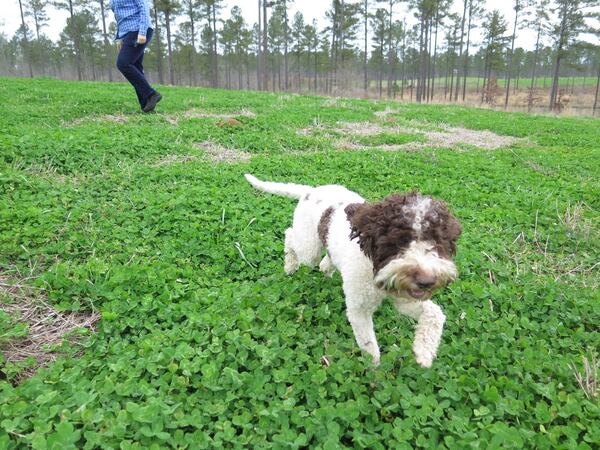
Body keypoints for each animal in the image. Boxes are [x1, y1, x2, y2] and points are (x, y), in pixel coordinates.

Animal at [246, 174, 462, 368]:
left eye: (438, 242)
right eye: (399, 240)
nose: (427, 281)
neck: (374, 265)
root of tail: (311, 191)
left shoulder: (404, 297)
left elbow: (435, 313)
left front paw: (424, 352)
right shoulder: (359, 309)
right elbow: (370, 347)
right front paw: (373, 374)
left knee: (324, 261)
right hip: (309, 248)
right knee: (290, 236)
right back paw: (290, 266)